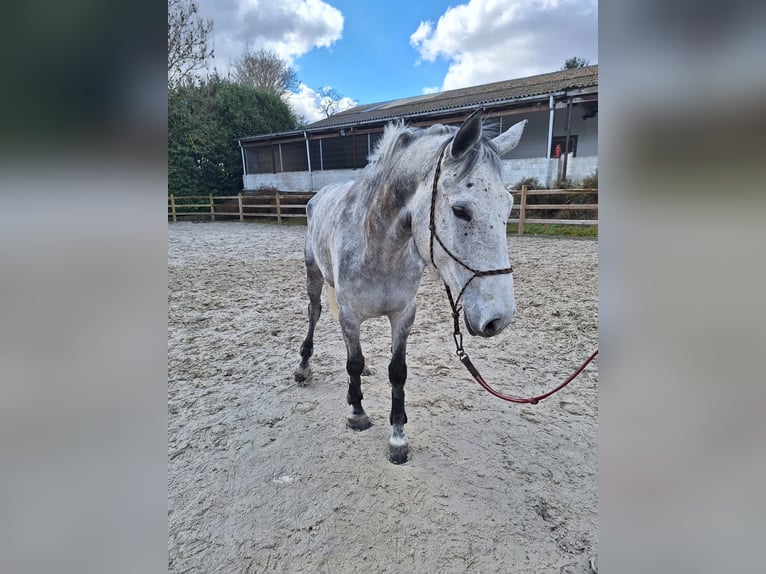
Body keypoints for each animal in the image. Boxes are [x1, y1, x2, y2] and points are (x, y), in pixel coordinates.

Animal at [293, 108, 527, 464]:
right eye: (460, 210)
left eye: (509, 207)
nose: (498, 319)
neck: (376, 242)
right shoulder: (350, 314)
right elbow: (352, 362)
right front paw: (357, 413)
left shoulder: (403, 315)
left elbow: (397, 372)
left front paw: (398, 436)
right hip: (314, 276)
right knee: (315, 313)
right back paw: (303, 367)